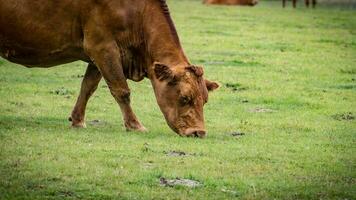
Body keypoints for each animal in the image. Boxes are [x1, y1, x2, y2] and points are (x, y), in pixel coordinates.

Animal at [0, 0, 220, 138]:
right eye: (184, 98)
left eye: (205, 100)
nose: (199, 132)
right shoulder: (103, 47)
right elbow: (122, 91)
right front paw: (135, 125)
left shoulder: (99, 54)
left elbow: (88, 87)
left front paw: (77, 120)